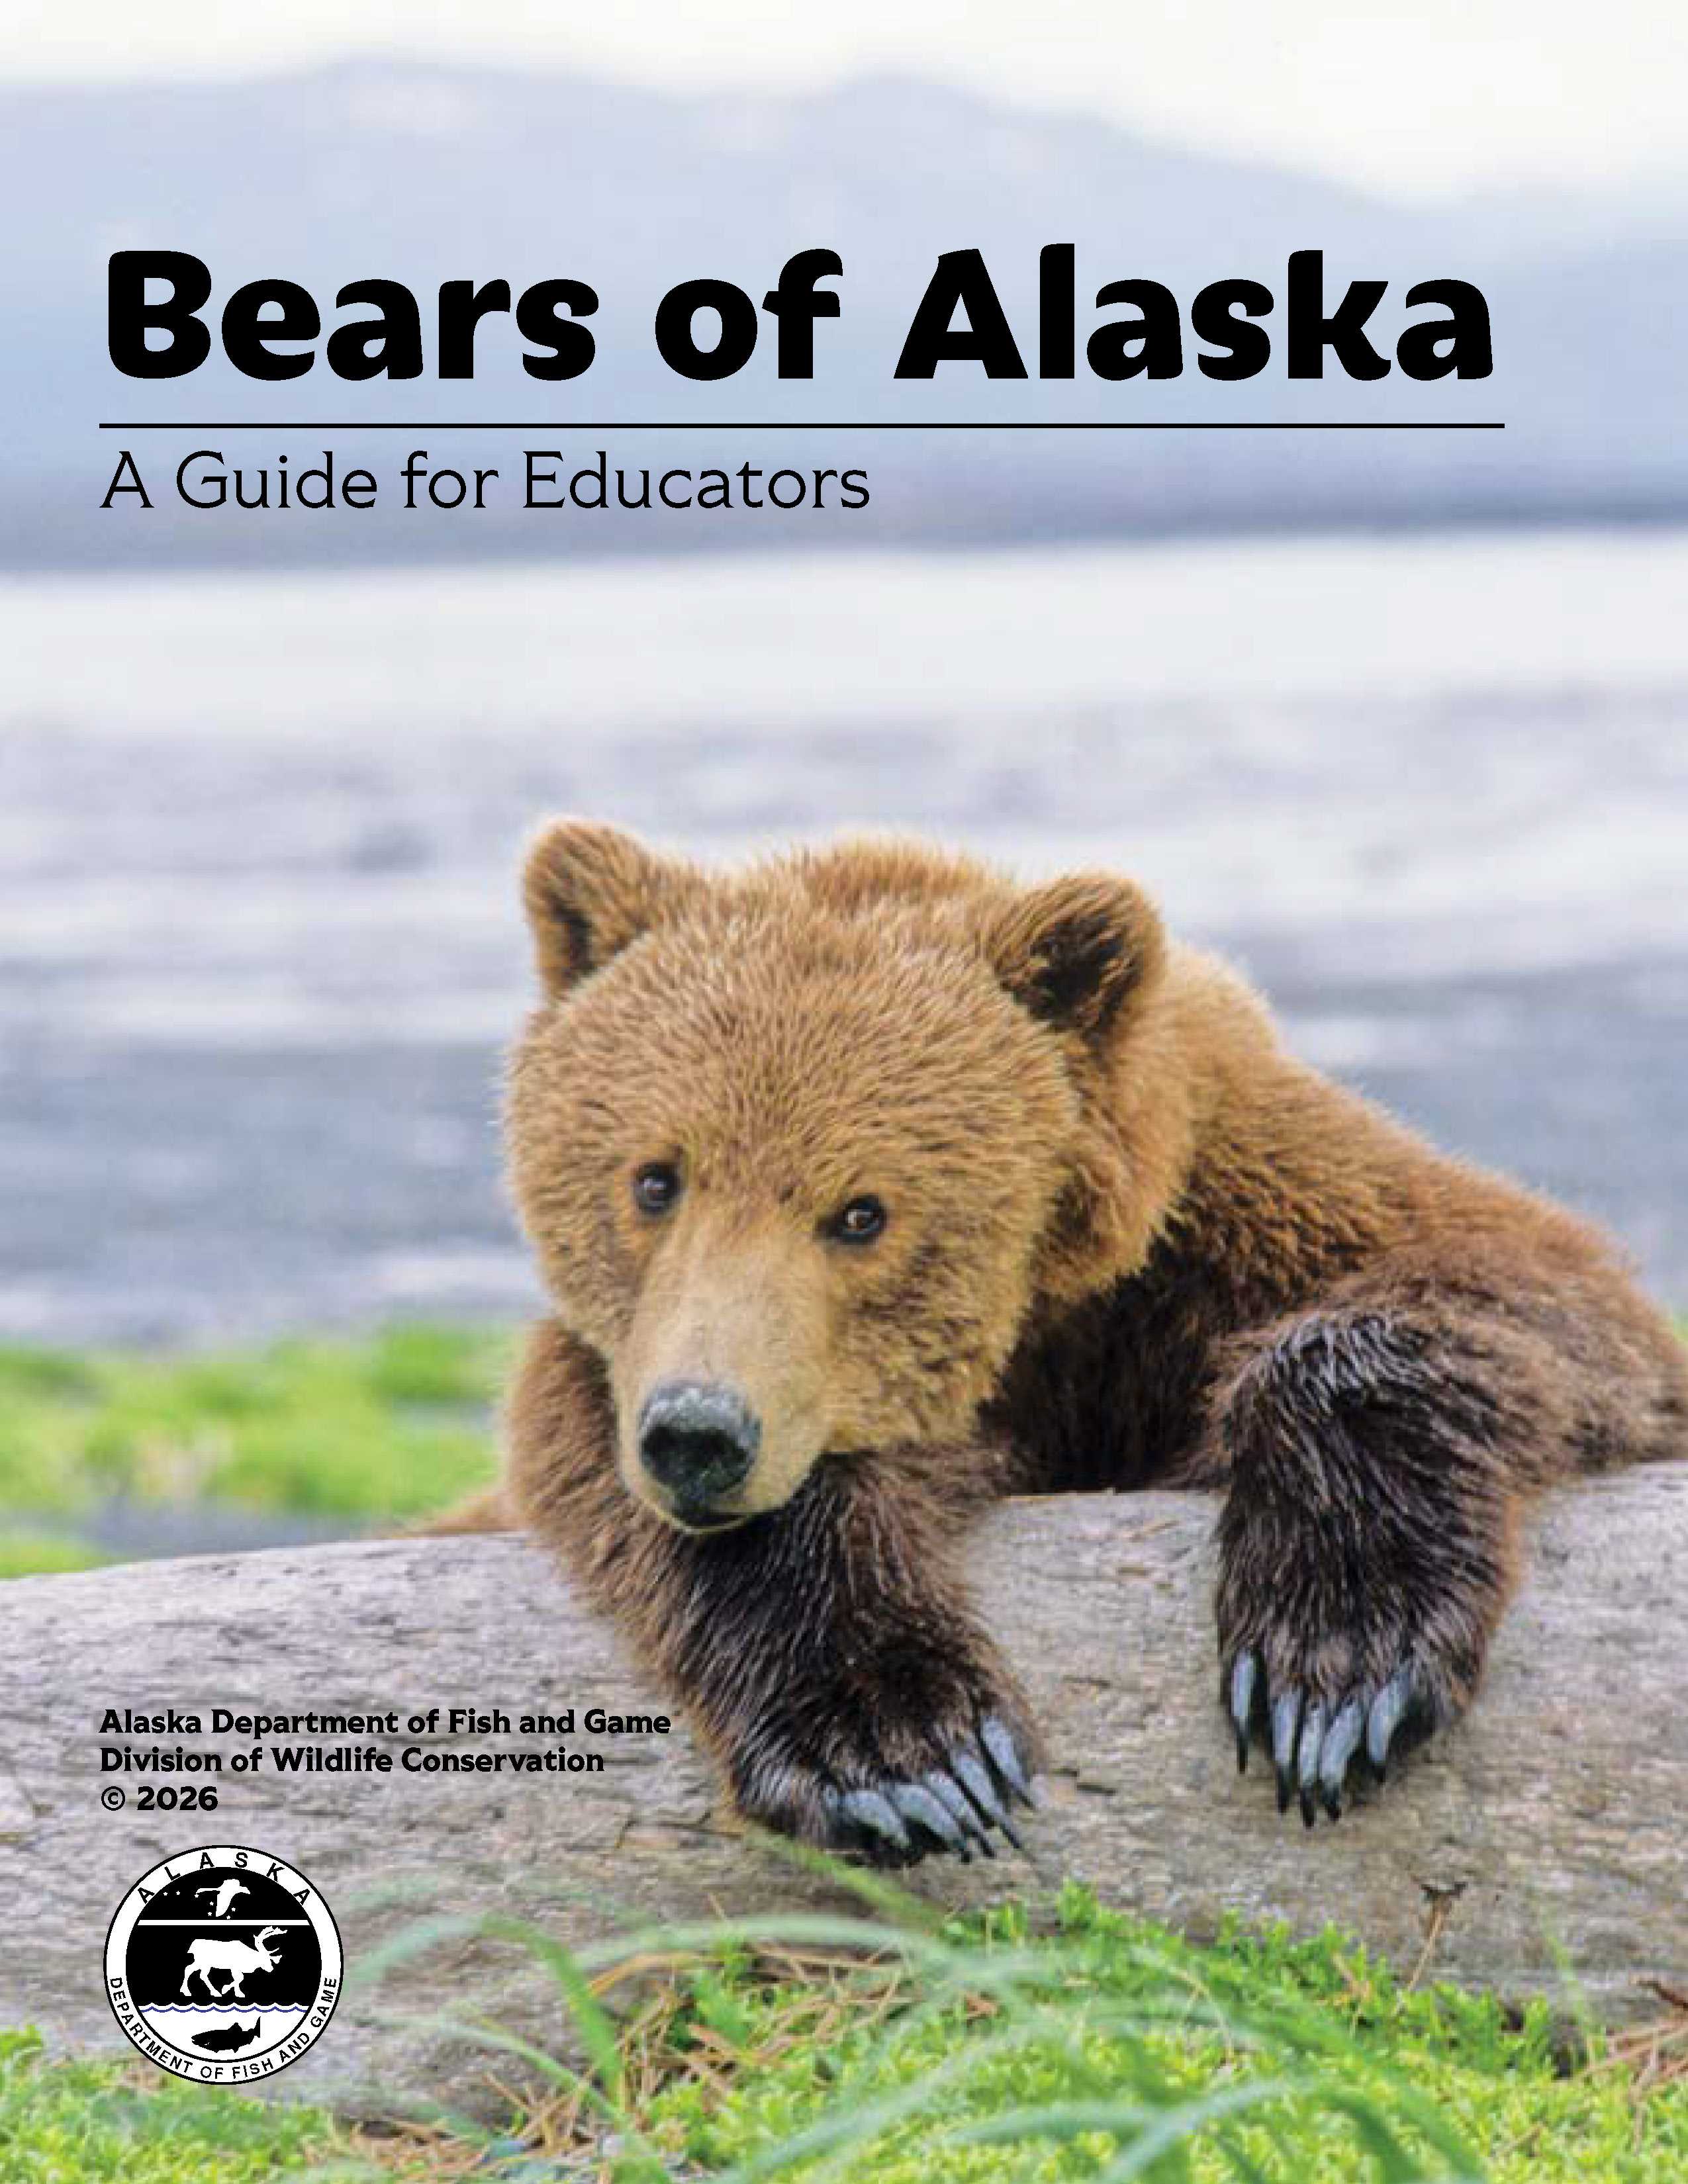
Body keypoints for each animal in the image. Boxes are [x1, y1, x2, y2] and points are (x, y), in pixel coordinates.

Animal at [479, 819, 1686, 1863]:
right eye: (654, 1179)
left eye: (862, 1212)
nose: (700, 1434)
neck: (1041, 1333)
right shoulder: (630, 1360)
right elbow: (612, 1450)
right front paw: (904, 1750)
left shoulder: (1236, 1208)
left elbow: (1520, 1288)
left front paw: (1333, 1665)